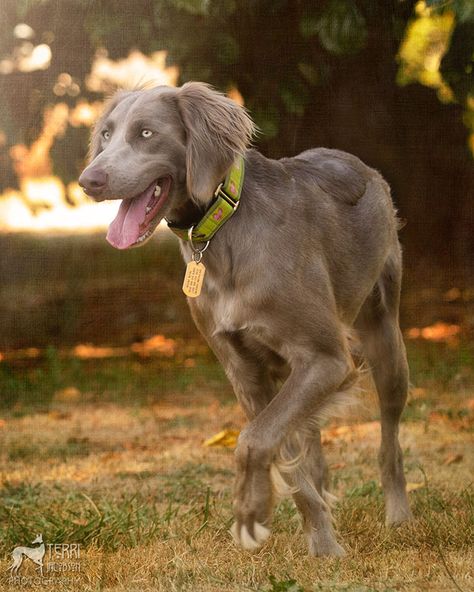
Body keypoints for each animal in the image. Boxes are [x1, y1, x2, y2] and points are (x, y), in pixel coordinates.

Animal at [79, 82, 412, 556]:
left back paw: (399, 515)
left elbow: (254, 440)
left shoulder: (327, 359)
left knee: (389, 442)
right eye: (106, 134)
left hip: (386, 343)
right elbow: (281, 454)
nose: (89, 180)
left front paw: (251, 511)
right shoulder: (245, 372)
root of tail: (364, 167)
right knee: (309, 443)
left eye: (145, 133)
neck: (222, 232)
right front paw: (320, 540)